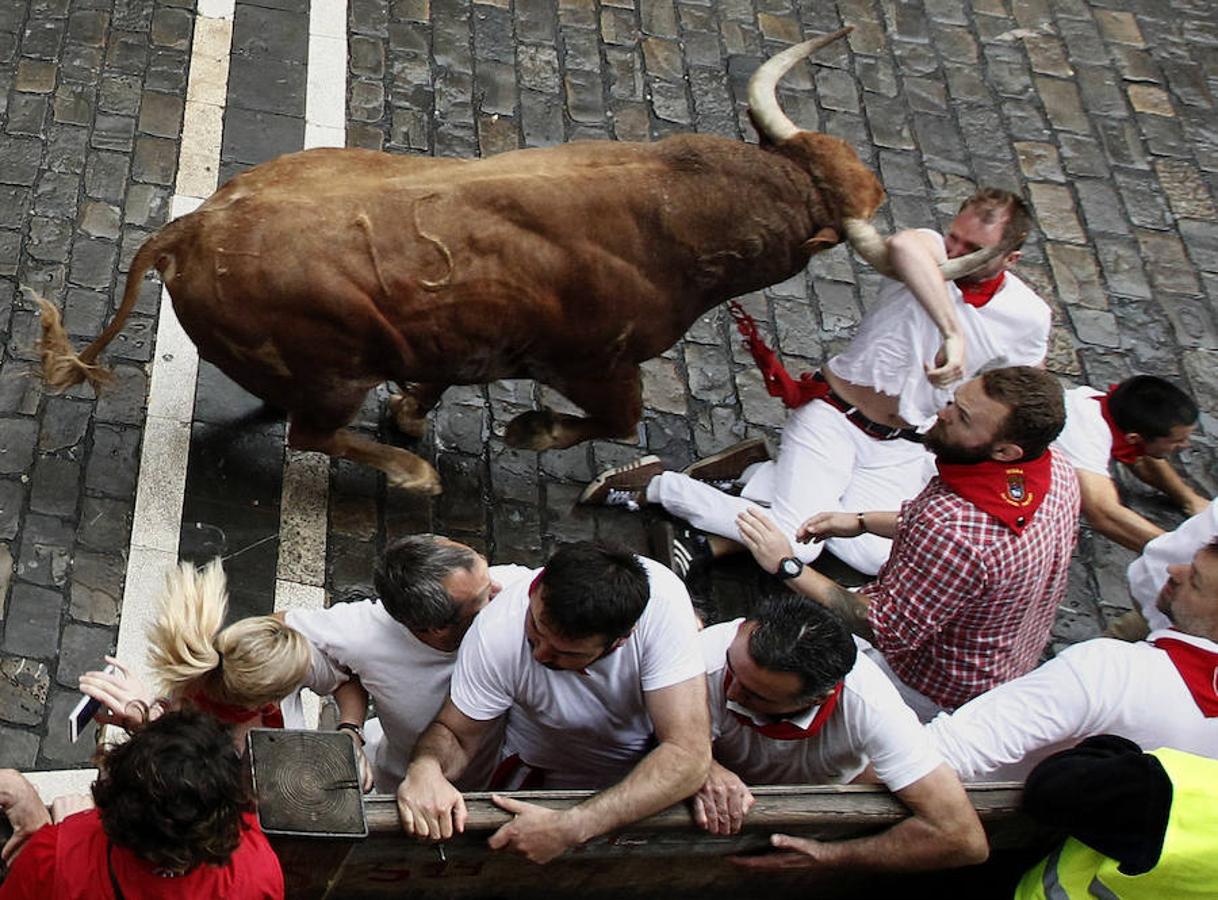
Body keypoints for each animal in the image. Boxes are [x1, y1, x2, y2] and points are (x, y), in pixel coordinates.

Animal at [40, 29, 979, 492]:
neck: (677, 209)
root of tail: (189, 228)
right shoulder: (601, 364)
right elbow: (619, 423)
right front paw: (526, 431)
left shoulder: (464, 334)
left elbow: (437, 376)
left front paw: (412, 411)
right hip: (337, 368)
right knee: (313, 433)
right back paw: (415, 477)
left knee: (295, 416)